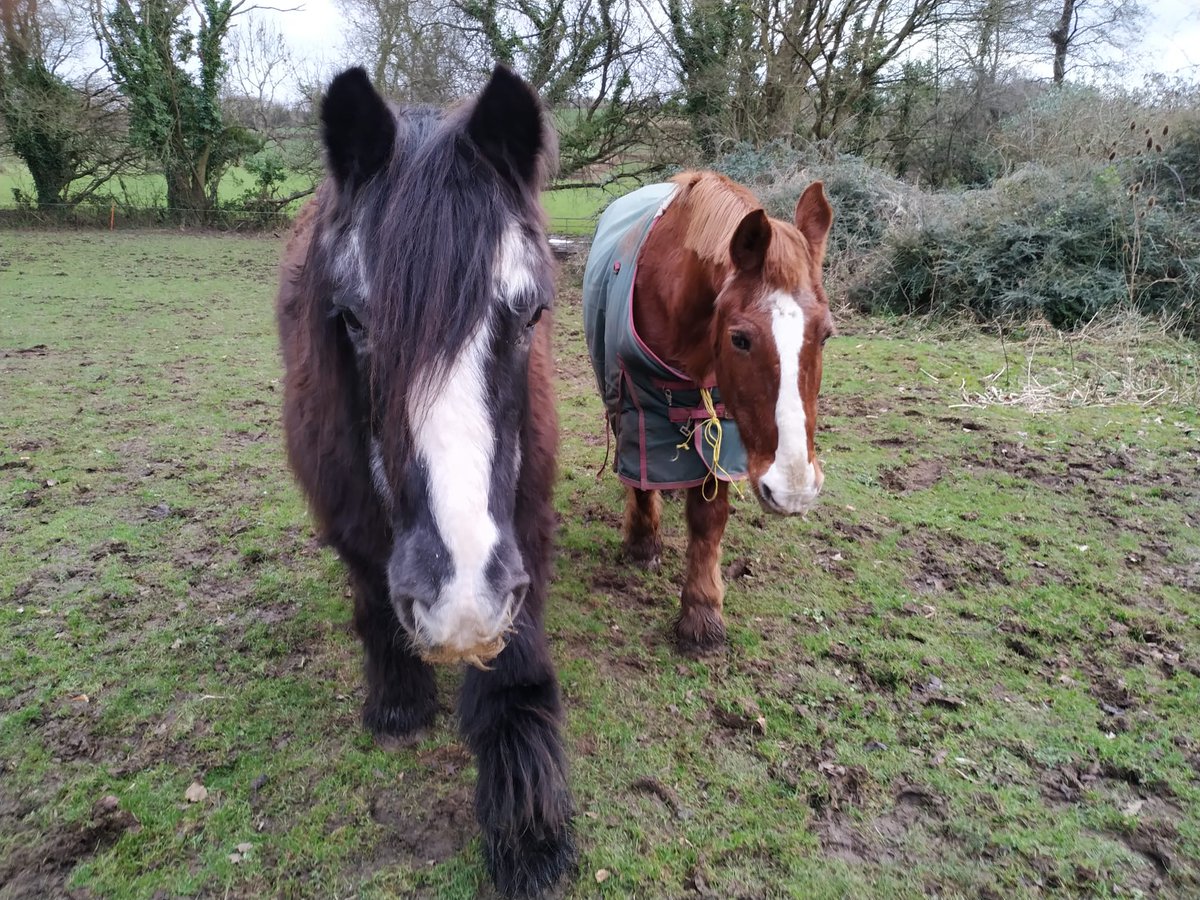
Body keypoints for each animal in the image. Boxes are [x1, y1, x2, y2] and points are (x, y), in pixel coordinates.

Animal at [276, 66, 574, 897]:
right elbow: (373, 597)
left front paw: (528, 828)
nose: (458, 595)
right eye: (352, 320)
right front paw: (399, 702)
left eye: (530, 315)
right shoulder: (348, 518)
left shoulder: (521, 530)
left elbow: (514, 667)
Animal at [583, 171, 834, 654]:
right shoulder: (639, 402)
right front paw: (643, 544)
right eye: (740, 338)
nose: (794, 489)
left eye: (827, 334)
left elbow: (709, 516)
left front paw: (702, 613)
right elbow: (641, 478)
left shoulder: (719, 421)